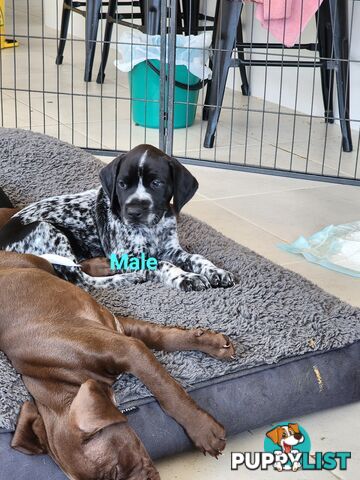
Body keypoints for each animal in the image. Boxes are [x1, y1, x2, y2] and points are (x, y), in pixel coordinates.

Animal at [0, 249, 235, 478]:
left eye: (113, 471)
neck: (59, 377)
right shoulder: (120, 331)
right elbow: (161, 339)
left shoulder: (125, 346)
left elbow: (167, 386)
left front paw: (203, 429)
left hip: (36, 263)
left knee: (71, 270)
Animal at [1, 144, 235, 290]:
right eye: (122, 184)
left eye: (156, 183)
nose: (133, 212)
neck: (152, 229)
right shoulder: (129, 256)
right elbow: (161, 264)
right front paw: (186, 277)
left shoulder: (171, 249)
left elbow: (196, 257)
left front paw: (216, 271)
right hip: (47, 229)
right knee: (83, 281)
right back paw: (133, 277)